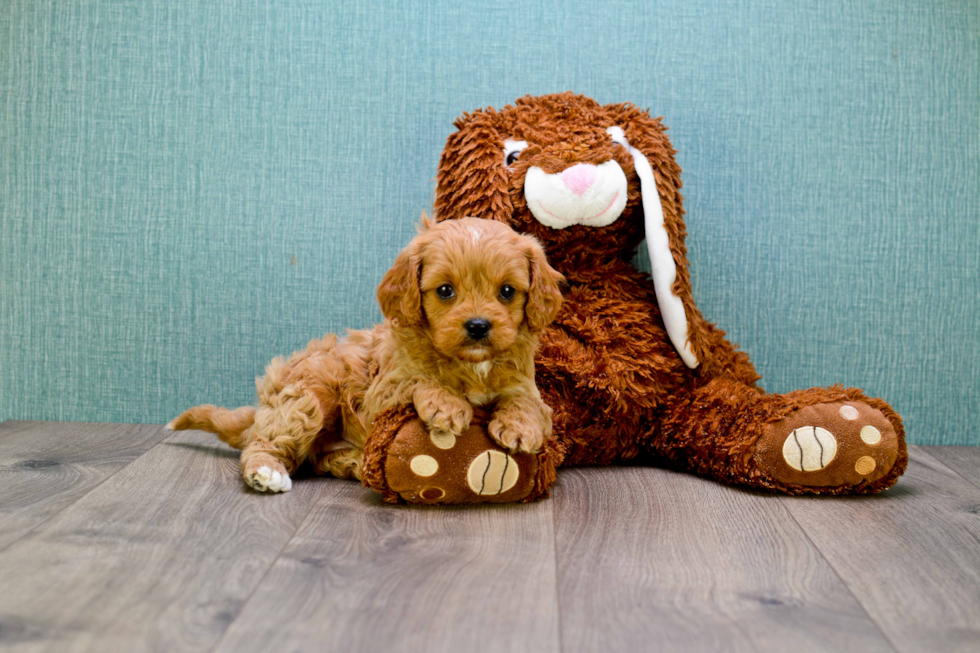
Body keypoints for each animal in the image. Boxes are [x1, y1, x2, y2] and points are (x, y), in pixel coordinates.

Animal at [169, 216, 564, 492]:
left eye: (507, 291)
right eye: (445, 291)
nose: (479, 326)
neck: (471, 365)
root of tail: (264, 406)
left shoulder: (527, 387)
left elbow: (526, 402)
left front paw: (520, 426)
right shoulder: (381, 393)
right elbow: (419, 379)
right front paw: (446, 404)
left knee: (317, 460)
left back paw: (358, 464)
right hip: (310, 394)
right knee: (264, 444)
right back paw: (267, 471)